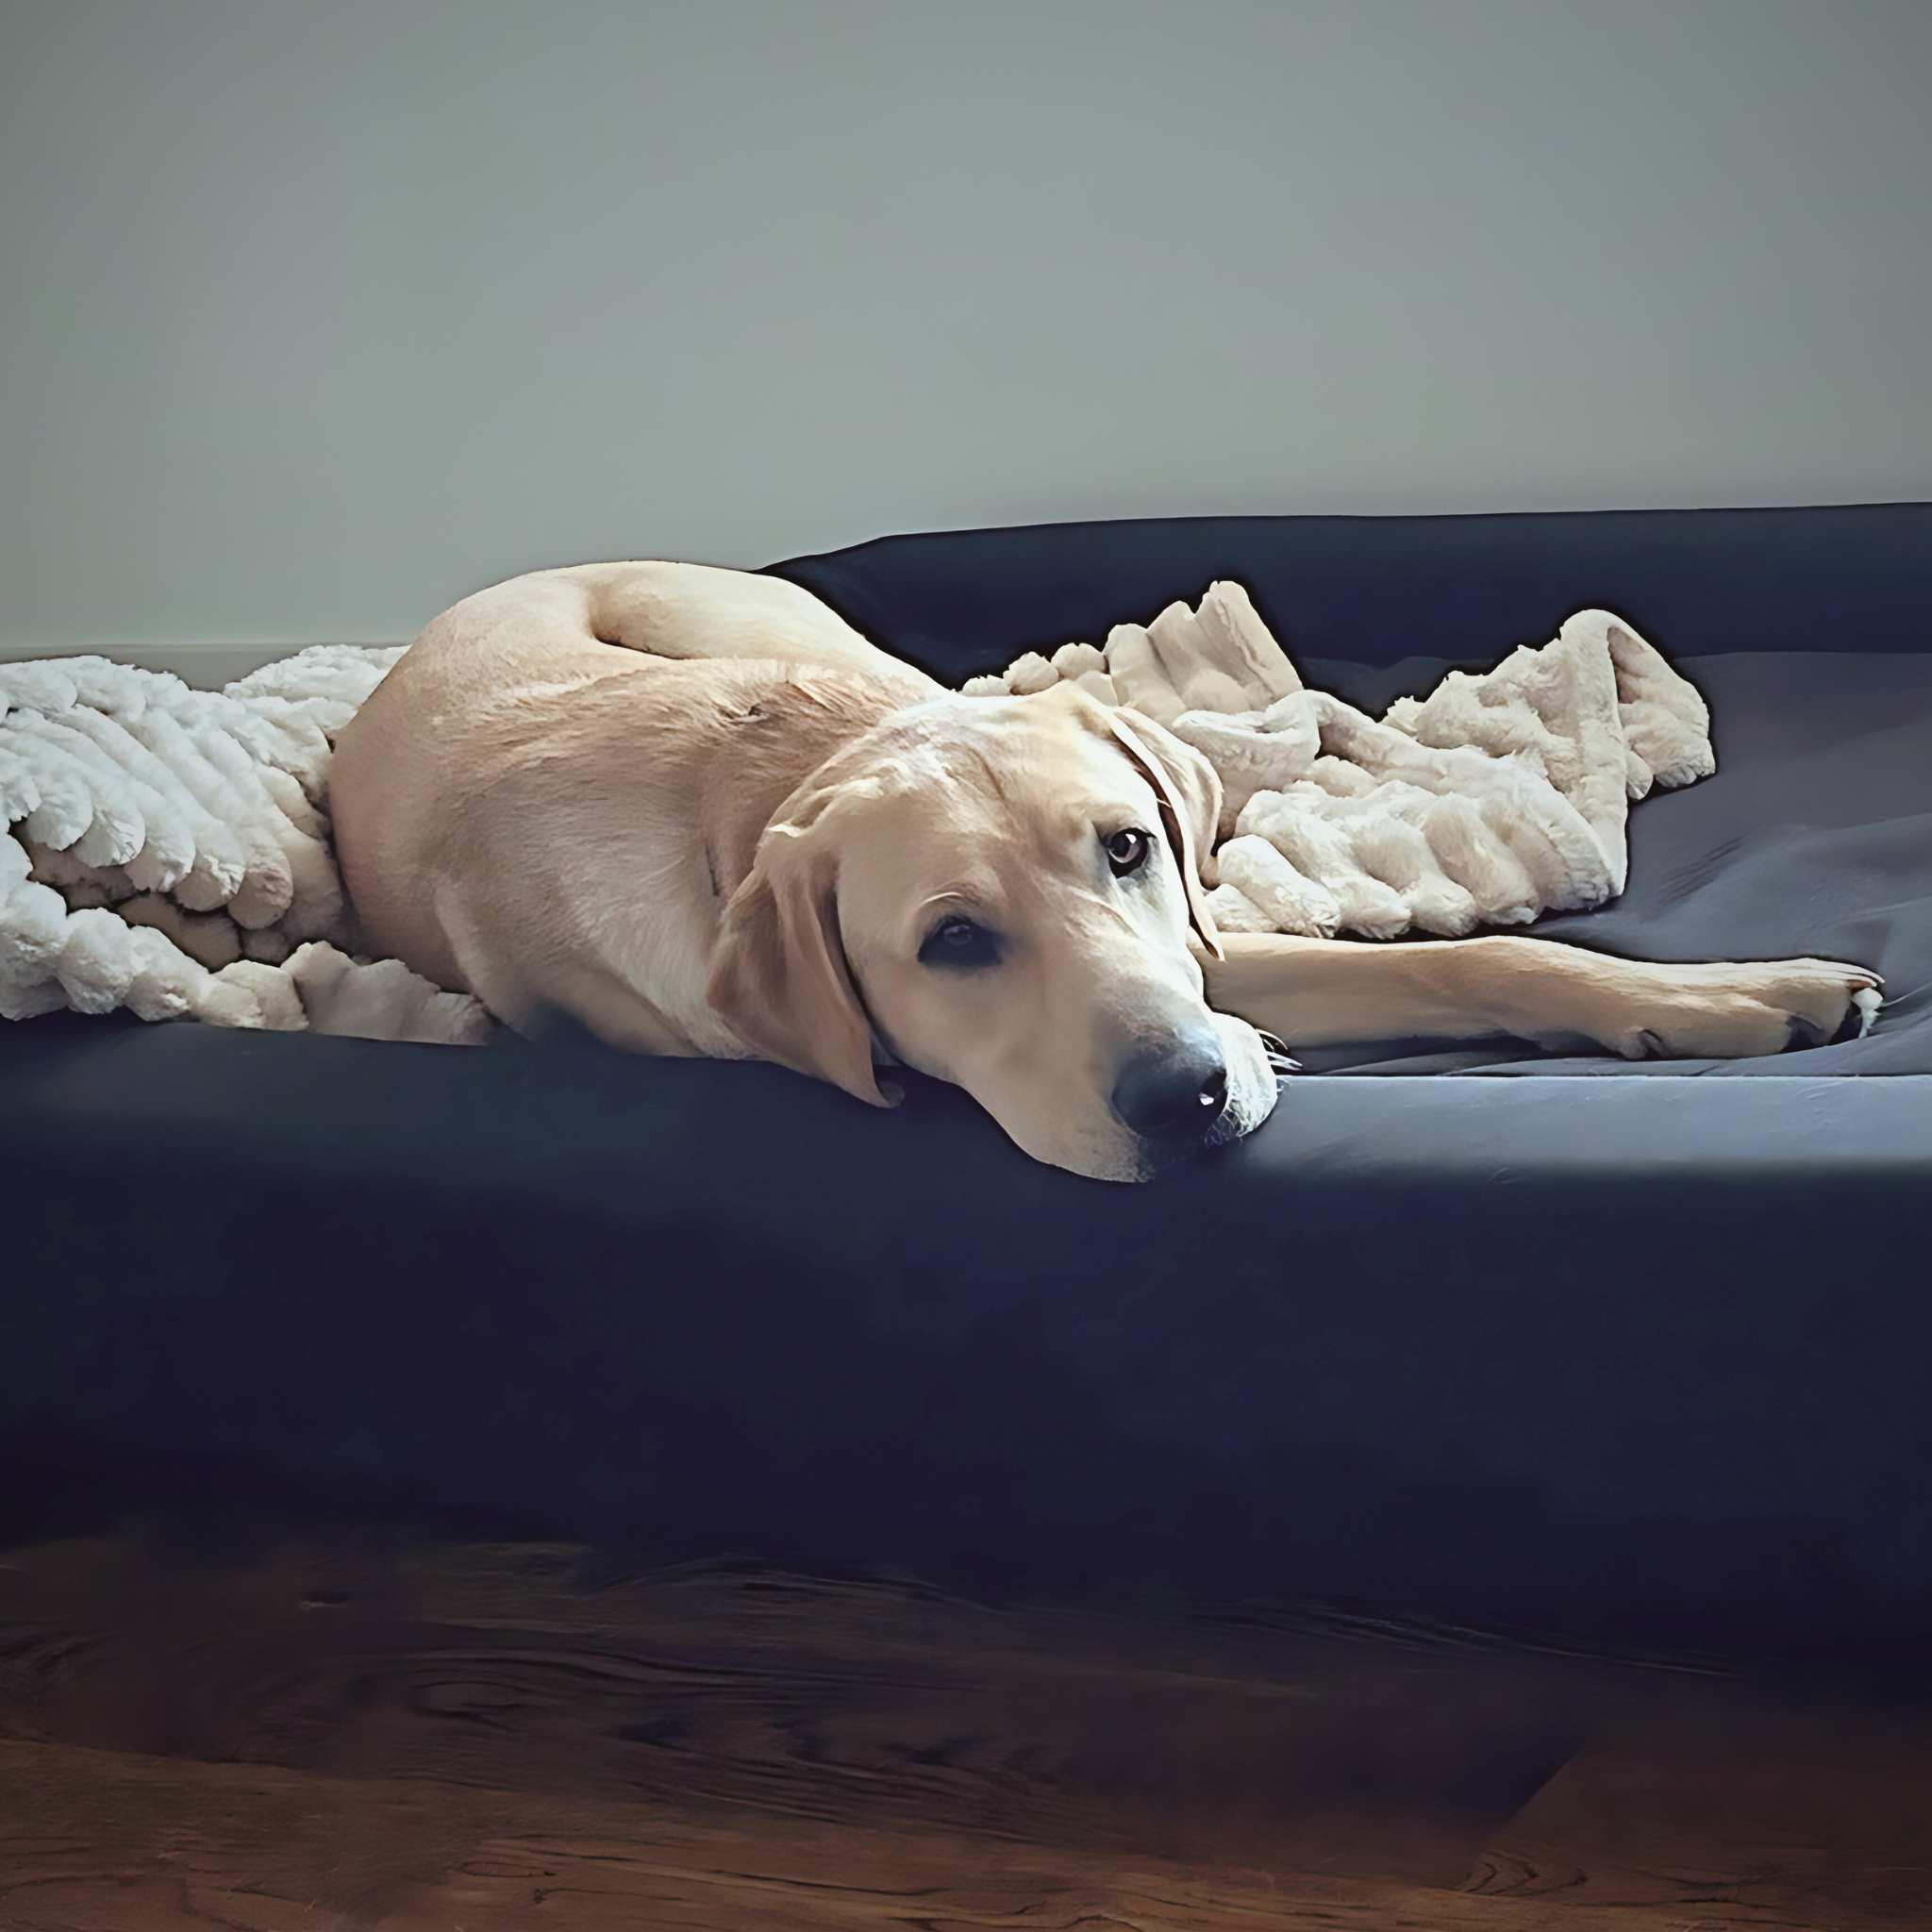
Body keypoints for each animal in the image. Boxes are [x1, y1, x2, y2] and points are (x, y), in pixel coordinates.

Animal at [332, 564, 1885, 1174]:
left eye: (1125, 847)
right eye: (952, 942)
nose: (1185, 1095)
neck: (771, 784)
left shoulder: (1199, 951)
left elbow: (1486, 953)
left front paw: (1738, 993)